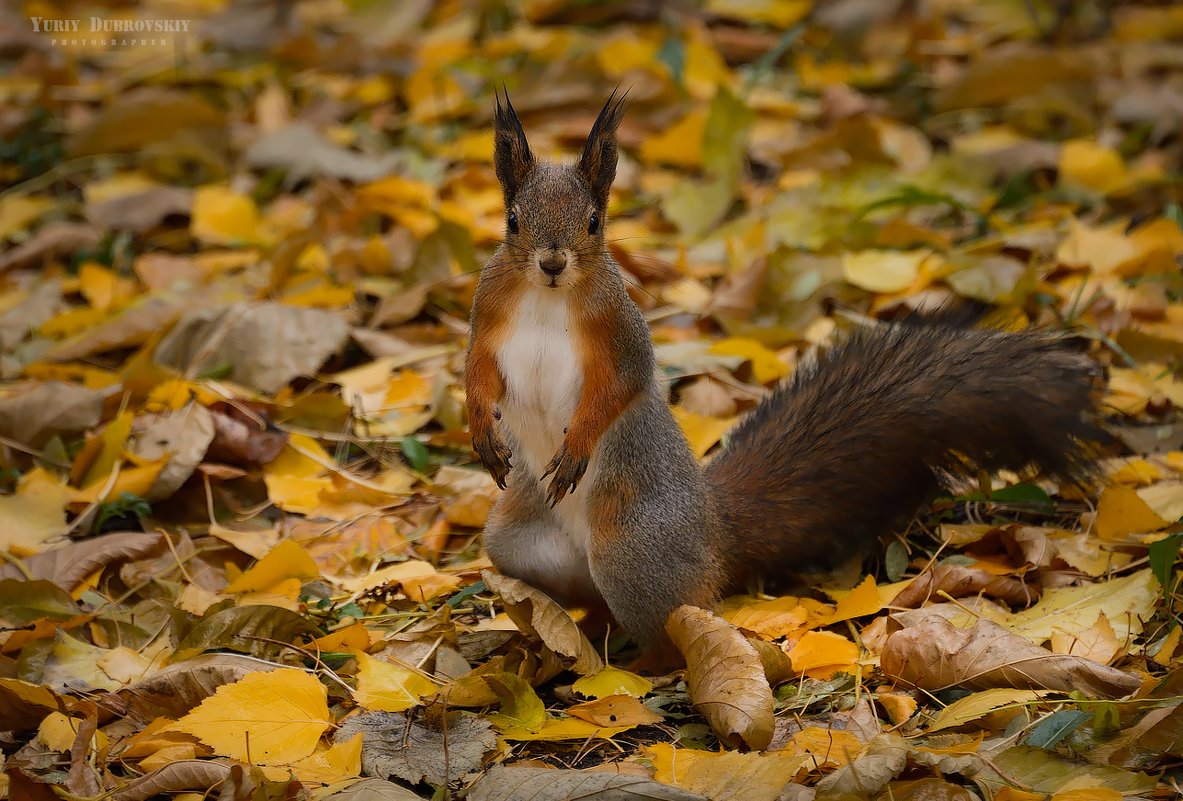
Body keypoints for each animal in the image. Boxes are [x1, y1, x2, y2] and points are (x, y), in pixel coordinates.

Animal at [463, 92, 1107, 667]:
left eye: (594, 222)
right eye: (513, 221)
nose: (551, 263)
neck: (549, 297)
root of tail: (713, 533)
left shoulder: (621, 336)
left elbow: (619, 388)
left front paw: (575, 447)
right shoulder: (489, 315)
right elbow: (477, 372)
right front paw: (481, 431)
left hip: (633, 551)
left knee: (673, 627)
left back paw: (636, 669)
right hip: (517, 545)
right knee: (589, 597)